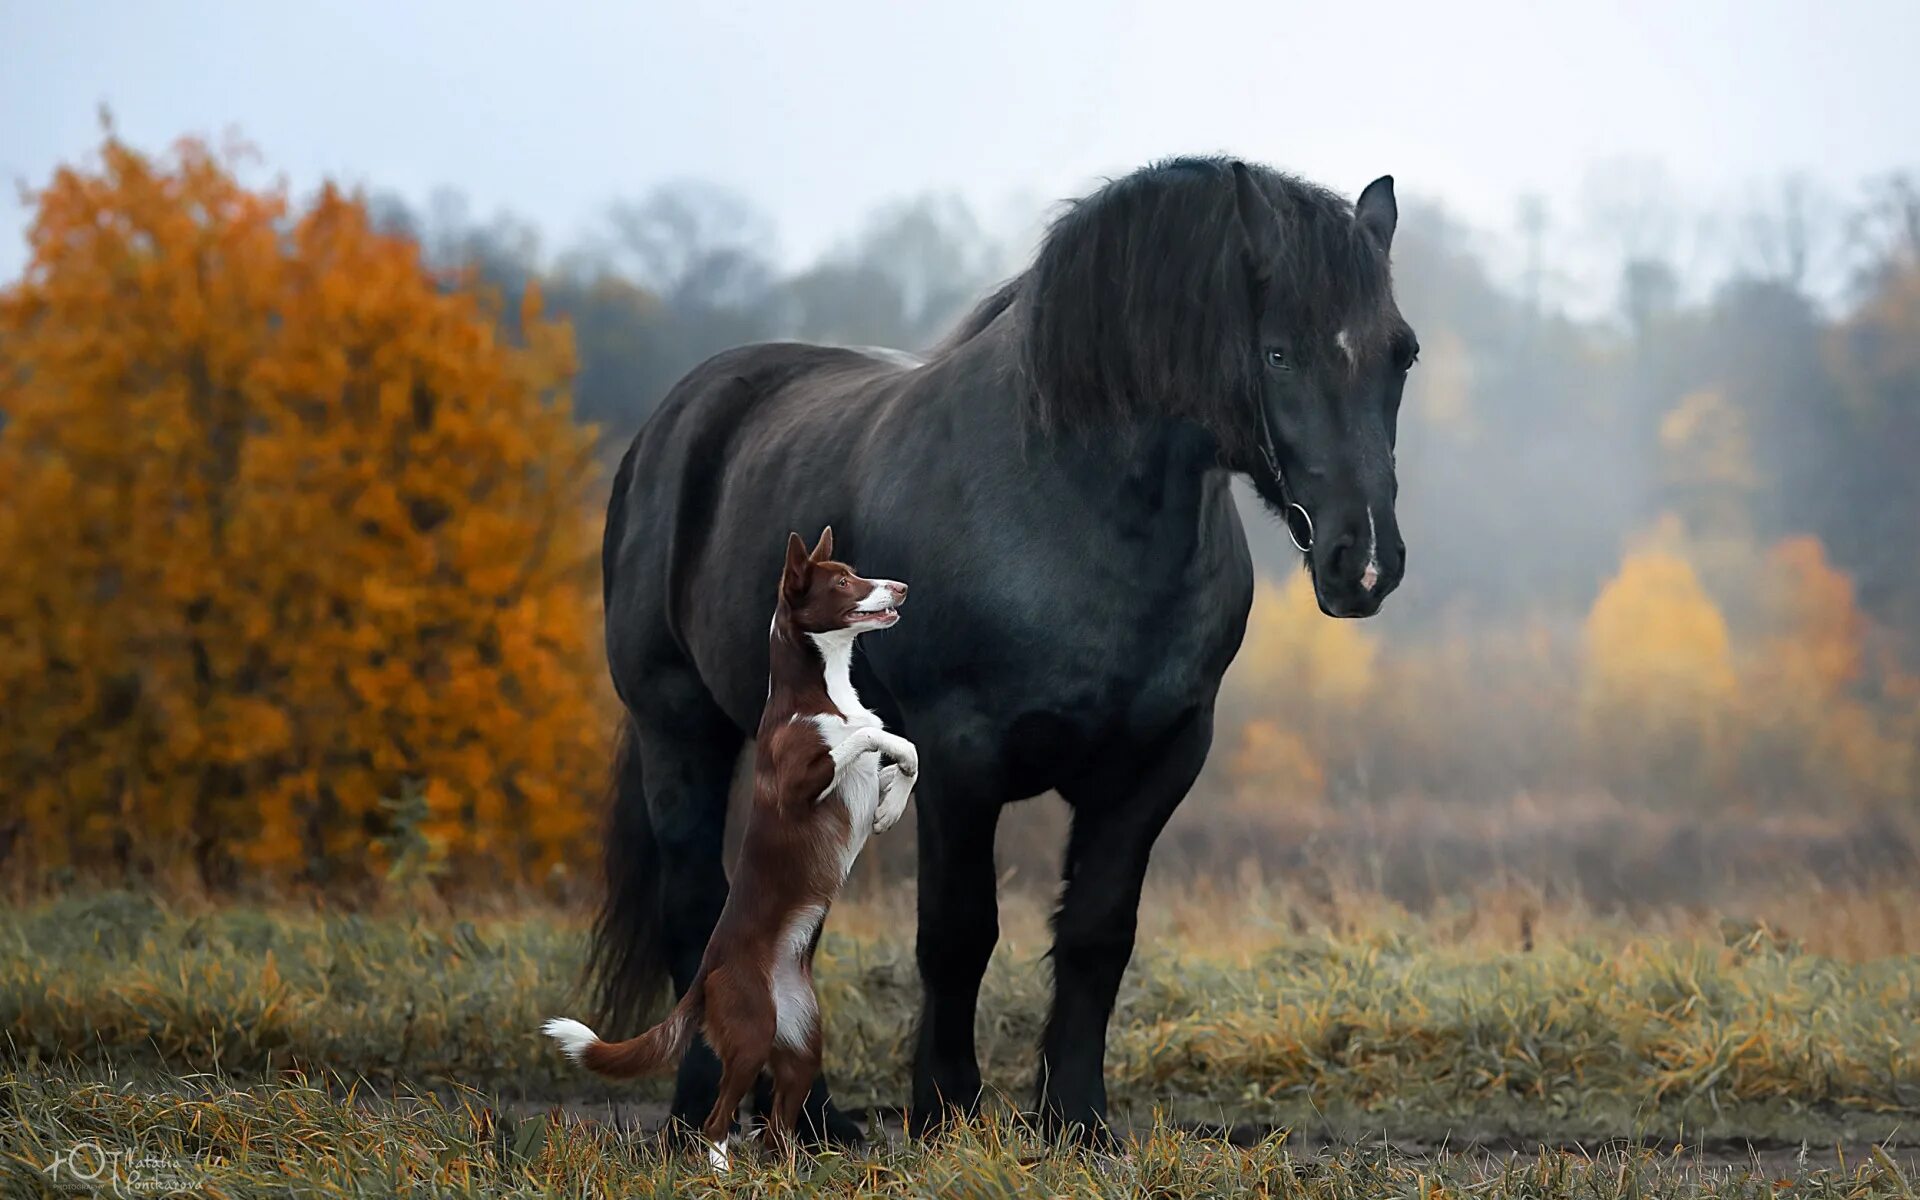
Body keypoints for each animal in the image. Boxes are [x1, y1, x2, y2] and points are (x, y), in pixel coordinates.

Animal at [545, 529, 917, 1167]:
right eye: (844, 581)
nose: (901, 586)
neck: (822, 690)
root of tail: (708, 972)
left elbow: (904, 751)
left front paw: (892, 804)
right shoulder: (799, 781)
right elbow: (868, 734)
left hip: (800, 1043)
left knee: (777, 1122)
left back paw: (787, 1171)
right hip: (748, 1032)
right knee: (719, 1119)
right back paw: (721, 1170)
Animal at [591, 154, 1420, 1136]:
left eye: (1402, 352)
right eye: (1279, 352)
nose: (1362, 562)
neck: (1073, 503)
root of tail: (673, 423)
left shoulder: (1158, 761)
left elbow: (1098, 933)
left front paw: (1076, 1119)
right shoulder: (960, 758)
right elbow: (959, 933)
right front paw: (946, 1108)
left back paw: (814, 1119)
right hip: (678, 731)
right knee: (697, 908)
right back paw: (700, 1111)